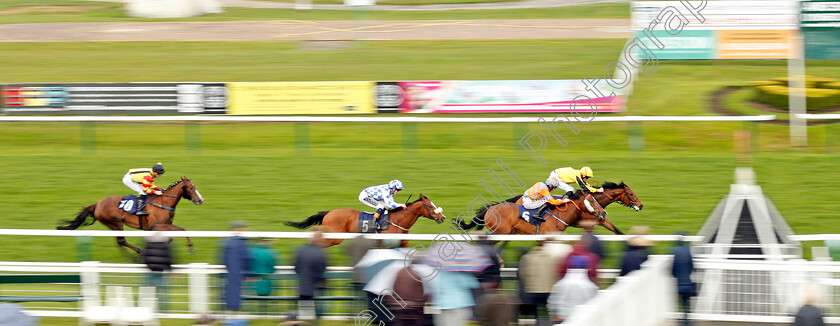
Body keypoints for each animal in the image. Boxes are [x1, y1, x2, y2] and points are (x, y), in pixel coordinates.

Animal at [57, 177, 203, 253]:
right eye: (191, 188)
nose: (200, 200)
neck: (164, 202)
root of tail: (97, 204)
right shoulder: (156, 225)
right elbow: (182, 229)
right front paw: (190, 247)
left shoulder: (166, 224)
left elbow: (170, 238)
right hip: (116, 222)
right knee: (121, 241)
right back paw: (140, 253)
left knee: (120, 242)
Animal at [286, 194, 446, 247]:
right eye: (430, 206)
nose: (442, 217)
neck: (398, 221)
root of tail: (329, 212)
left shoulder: (403, 243)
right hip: (335, 236)